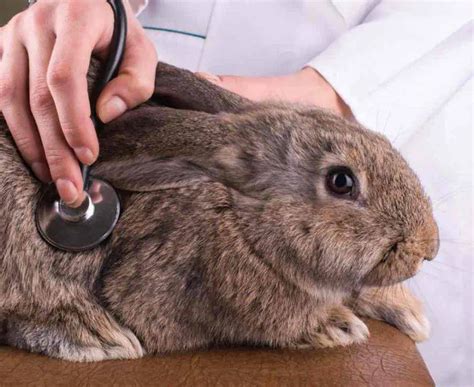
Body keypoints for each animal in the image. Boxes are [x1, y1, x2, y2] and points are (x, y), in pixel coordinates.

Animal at [0, 62, 438, 362]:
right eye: (342, 181)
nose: (428, 247)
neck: (243, 221)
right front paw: (337, 325)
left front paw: (408, 312)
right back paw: (93, 334)